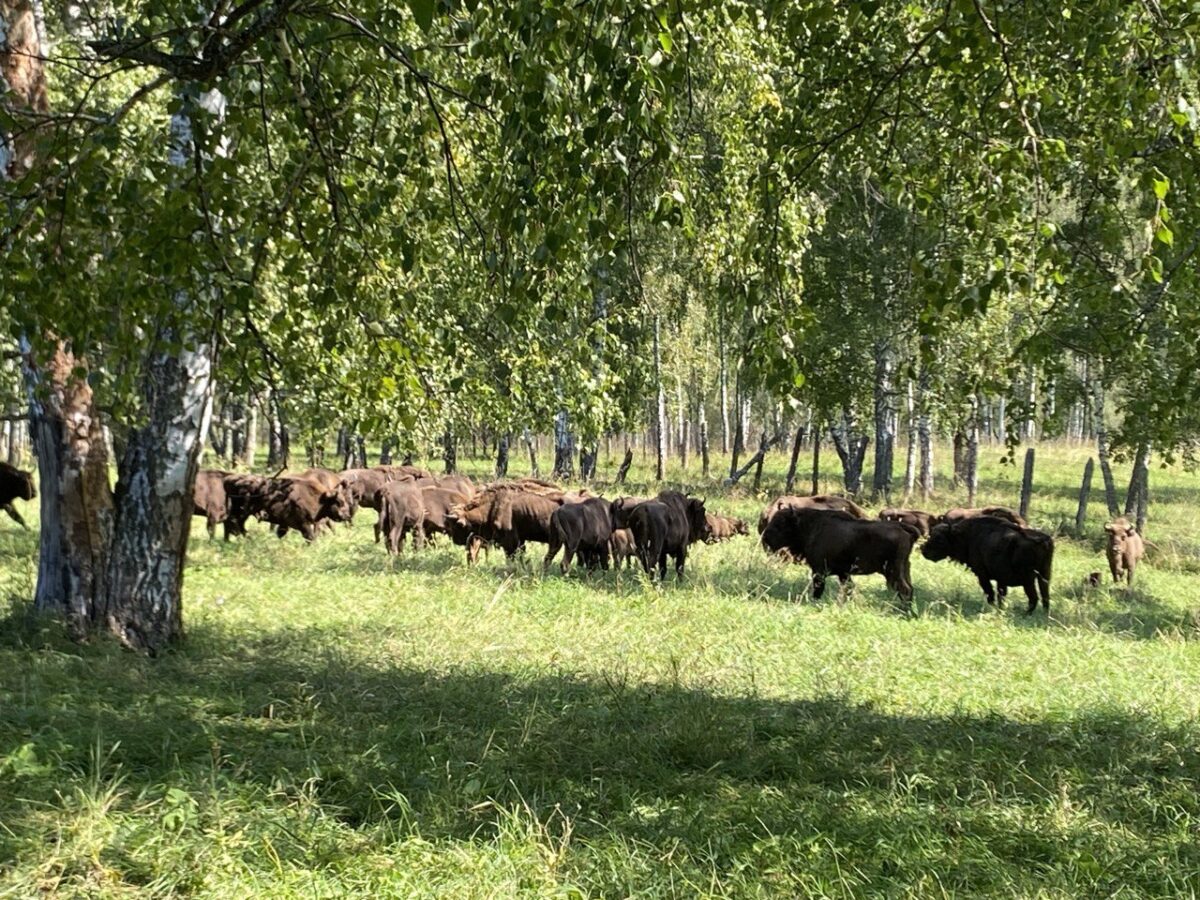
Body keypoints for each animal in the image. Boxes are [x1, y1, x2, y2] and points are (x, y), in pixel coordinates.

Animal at [758, 508, 916, 607]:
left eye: (780, 523)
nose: (765, 538)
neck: (809, 526)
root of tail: (902, 528)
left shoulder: (819, 571)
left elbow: (818, 589)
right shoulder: (843, 574)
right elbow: (848, 588)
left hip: (893, 571)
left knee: (905, 589)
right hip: (904, 568)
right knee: (909, 588)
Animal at [916, 518, 1051, 619]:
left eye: (939, 538)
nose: (924, 550)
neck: (965, 535)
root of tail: (1041, 539)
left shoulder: (982, 575)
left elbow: (990, 594)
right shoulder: (1001, 580)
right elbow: (1001, 596)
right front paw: (1000, 610)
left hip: (1028, 579)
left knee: (1034, 598)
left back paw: (1025, 614)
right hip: (1044, 576)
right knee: (1045, 597)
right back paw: (1044, 615)